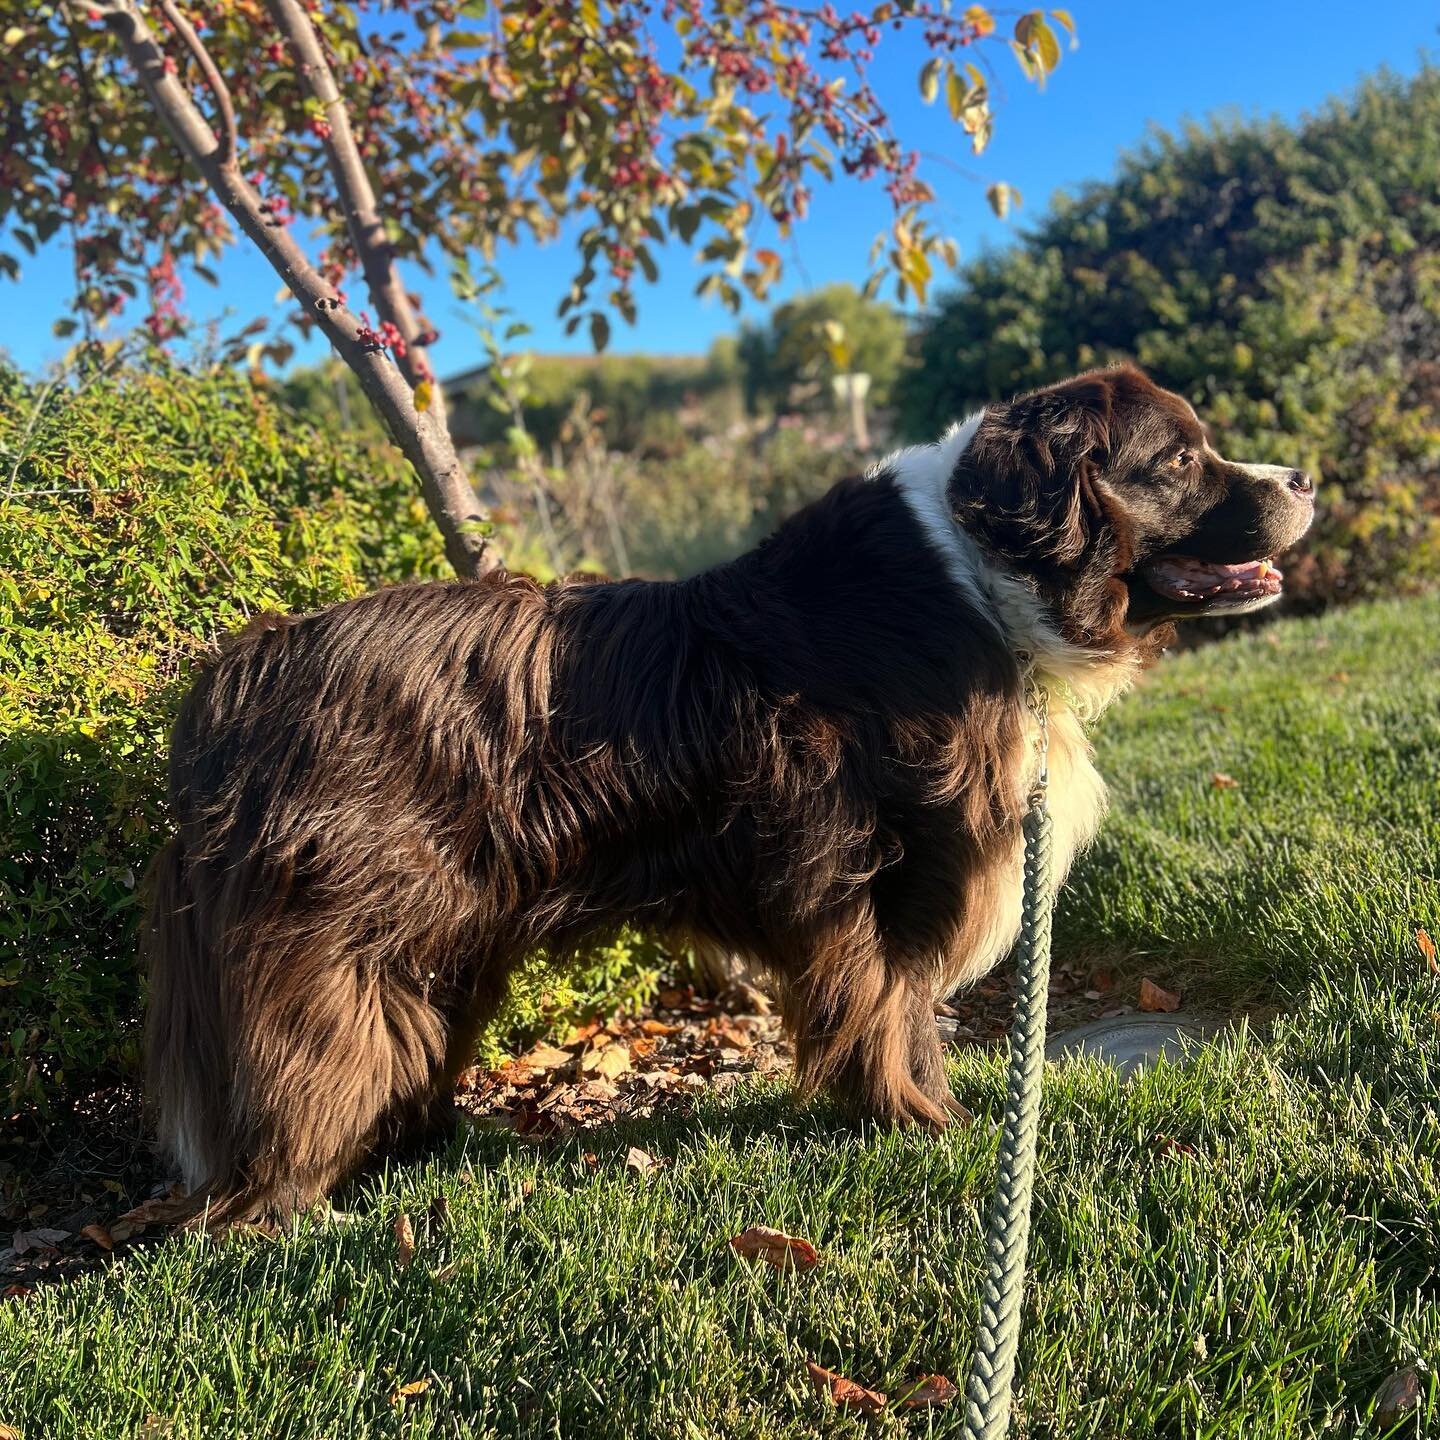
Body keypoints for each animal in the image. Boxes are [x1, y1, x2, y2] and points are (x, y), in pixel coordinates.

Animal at [140, 365, 1313, 1221]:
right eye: (1181, 460)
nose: (1302, 479)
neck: (984, 581)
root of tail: (244, 671)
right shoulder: (882, 879)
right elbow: (894, 1010)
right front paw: (925, 1124)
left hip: (439, 933)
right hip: (336, 931)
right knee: (307, 1064)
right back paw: (288, 1210)